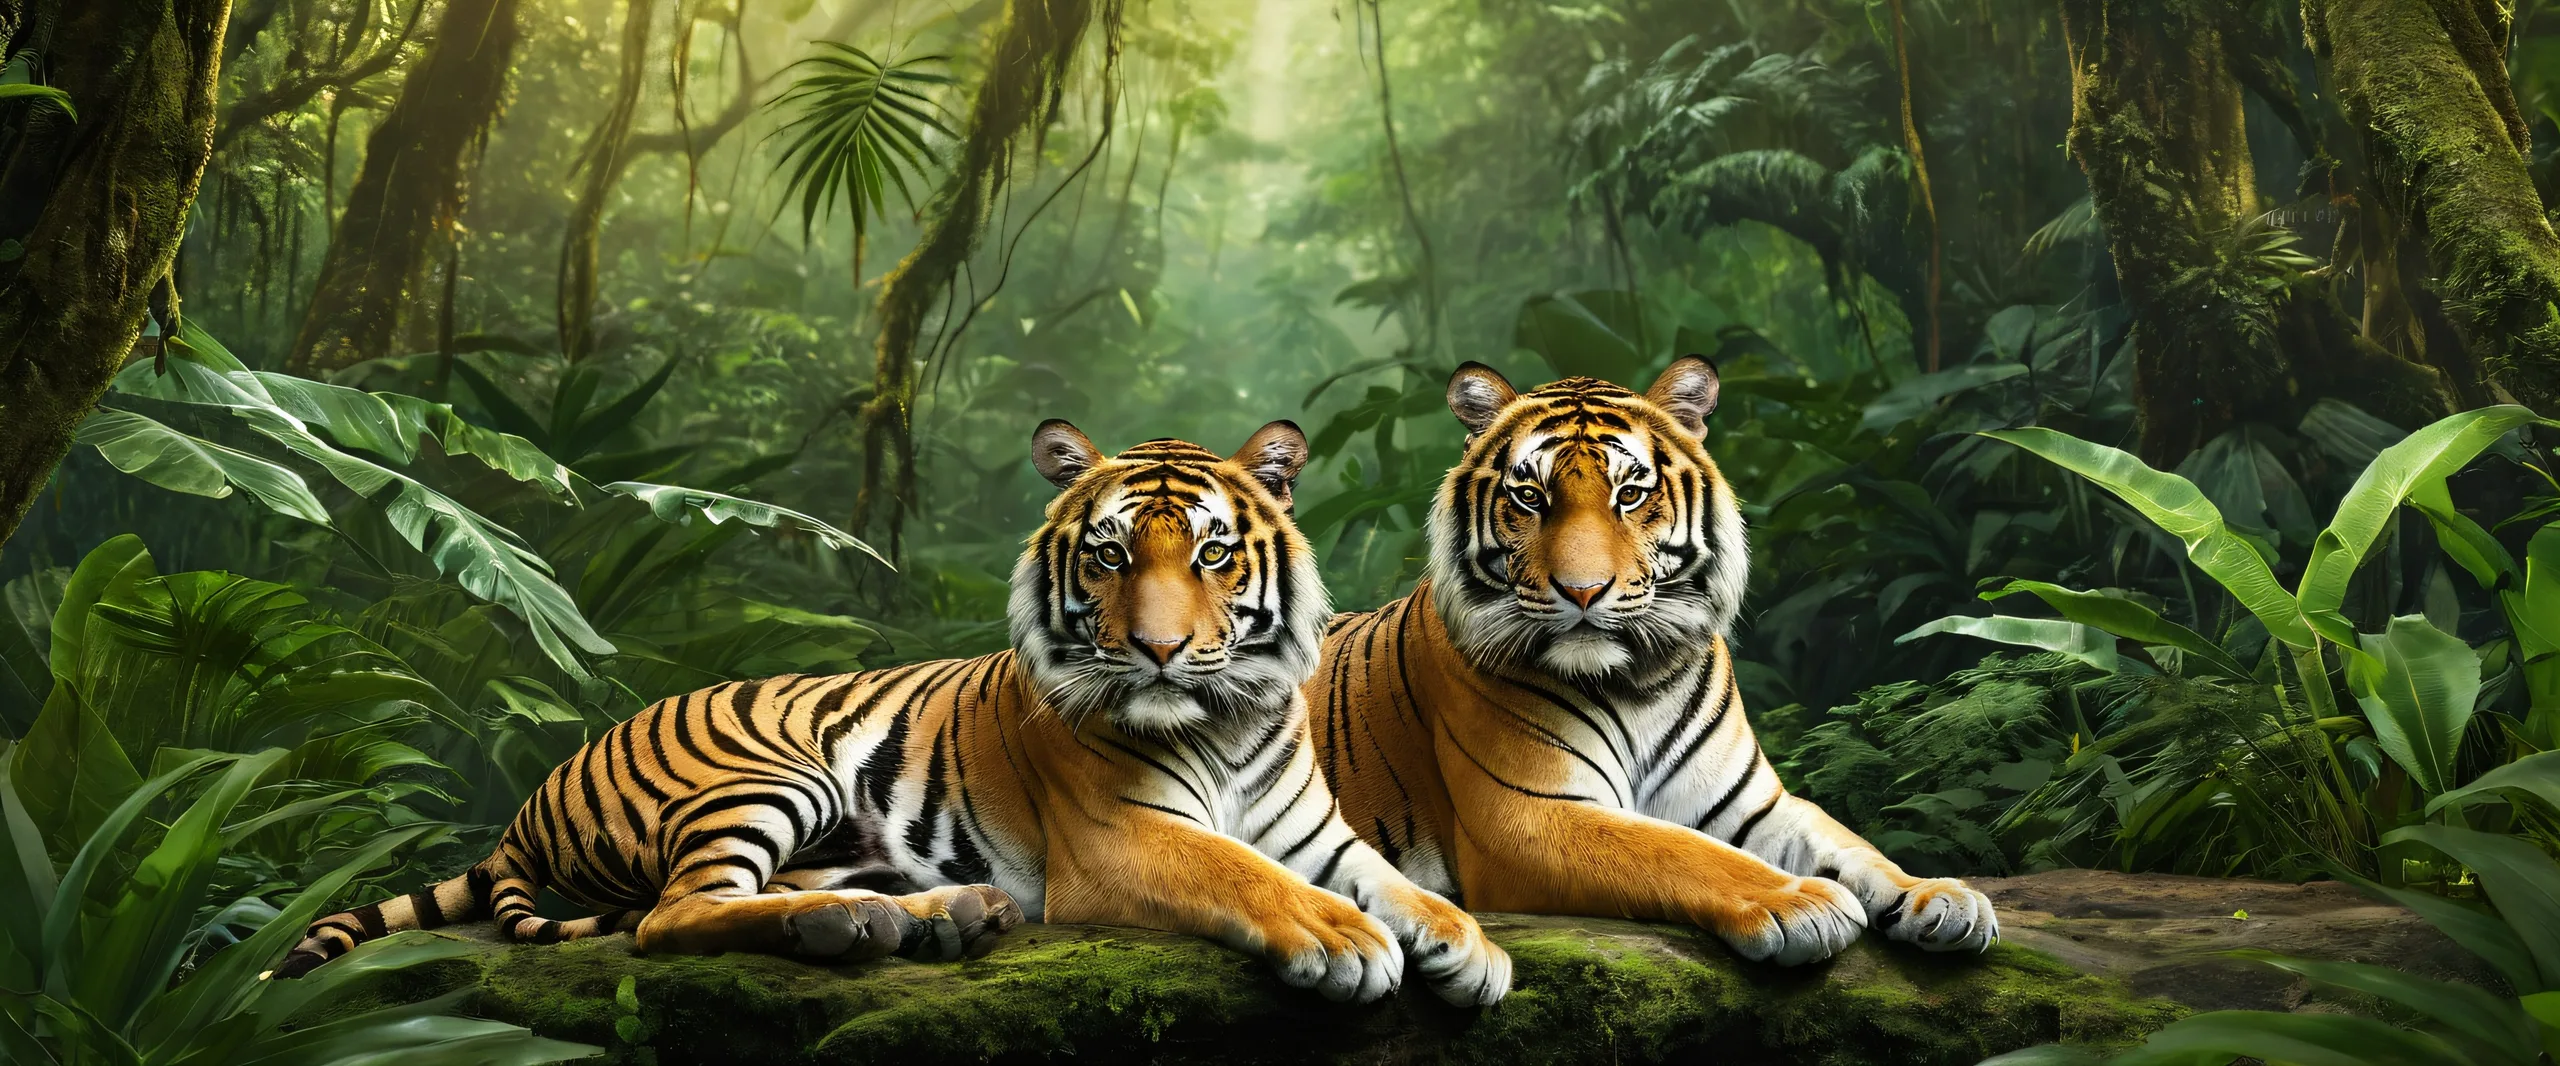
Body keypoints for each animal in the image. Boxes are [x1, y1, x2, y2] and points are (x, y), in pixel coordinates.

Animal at [278, 419, 1510, 1007]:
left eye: (1211, 554)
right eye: (1110, 555)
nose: (1158, 649)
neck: (1227, 716)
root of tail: (535, 794)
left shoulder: (1322, 831)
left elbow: (1401, 884)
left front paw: (1471, 949)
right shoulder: (1122, 838)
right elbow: (1245, 876)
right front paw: (1340, 940)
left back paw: (927, 915)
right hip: (764, 776)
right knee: (671, 916)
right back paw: (876, 925)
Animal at [1307, 357, 1997, 965]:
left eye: (1631, 493)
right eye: (1530, 497)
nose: (1583, 591)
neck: (1639, 679)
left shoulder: (1752, 804)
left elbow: (1849, 844)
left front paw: (1938, 897)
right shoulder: (1526, 815)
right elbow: (1677, 851)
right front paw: (1804, 902)